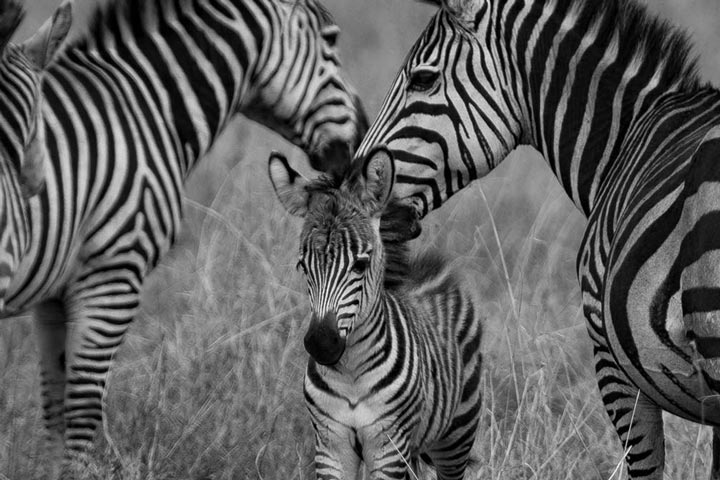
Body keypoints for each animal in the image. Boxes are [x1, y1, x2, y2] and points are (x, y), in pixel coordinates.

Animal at [1, 0, 367, 469]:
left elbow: (55, 414)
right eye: (332, 40)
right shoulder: (113, 274)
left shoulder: (54, 293)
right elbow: (81, 414)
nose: (363, 131)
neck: (147, 107)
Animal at [269, 146, 483, 480]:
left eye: (360, 264)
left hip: (457, 434)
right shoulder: (330, 445)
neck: (351, 372)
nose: (321, 344)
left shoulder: (389, 447)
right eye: (302, 266)